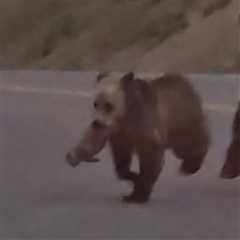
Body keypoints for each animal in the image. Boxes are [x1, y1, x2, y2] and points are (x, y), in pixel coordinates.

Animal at [66, 72, 209, 203]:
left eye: (108, 105)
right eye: (95, 104)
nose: (96, 122)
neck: (124, 116)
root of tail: (186, 83)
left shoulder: (144, 126)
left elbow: (150, 159)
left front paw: (139, 193)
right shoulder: (117, 136)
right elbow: (118, 160)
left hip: (181, 123)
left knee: (189, 146)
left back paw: (189, 166)